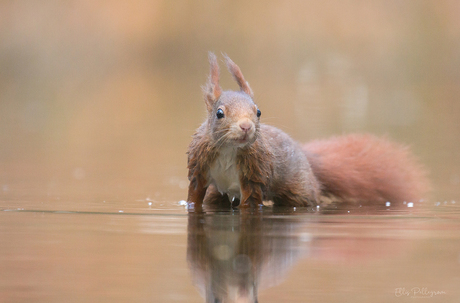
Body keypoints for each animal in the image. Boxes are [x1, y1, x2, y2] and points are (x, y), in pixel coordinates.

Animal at [186, 52, 428, 209]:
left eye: (258, 112)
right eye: (219, 113)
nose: (246, 126)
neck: (229, 150)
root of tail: (306, 158)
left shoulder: (254, 176)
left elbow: (250, 203)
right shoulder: (199, 169)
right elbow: (195, 197)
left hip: (299, 190)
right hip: (216, 194)